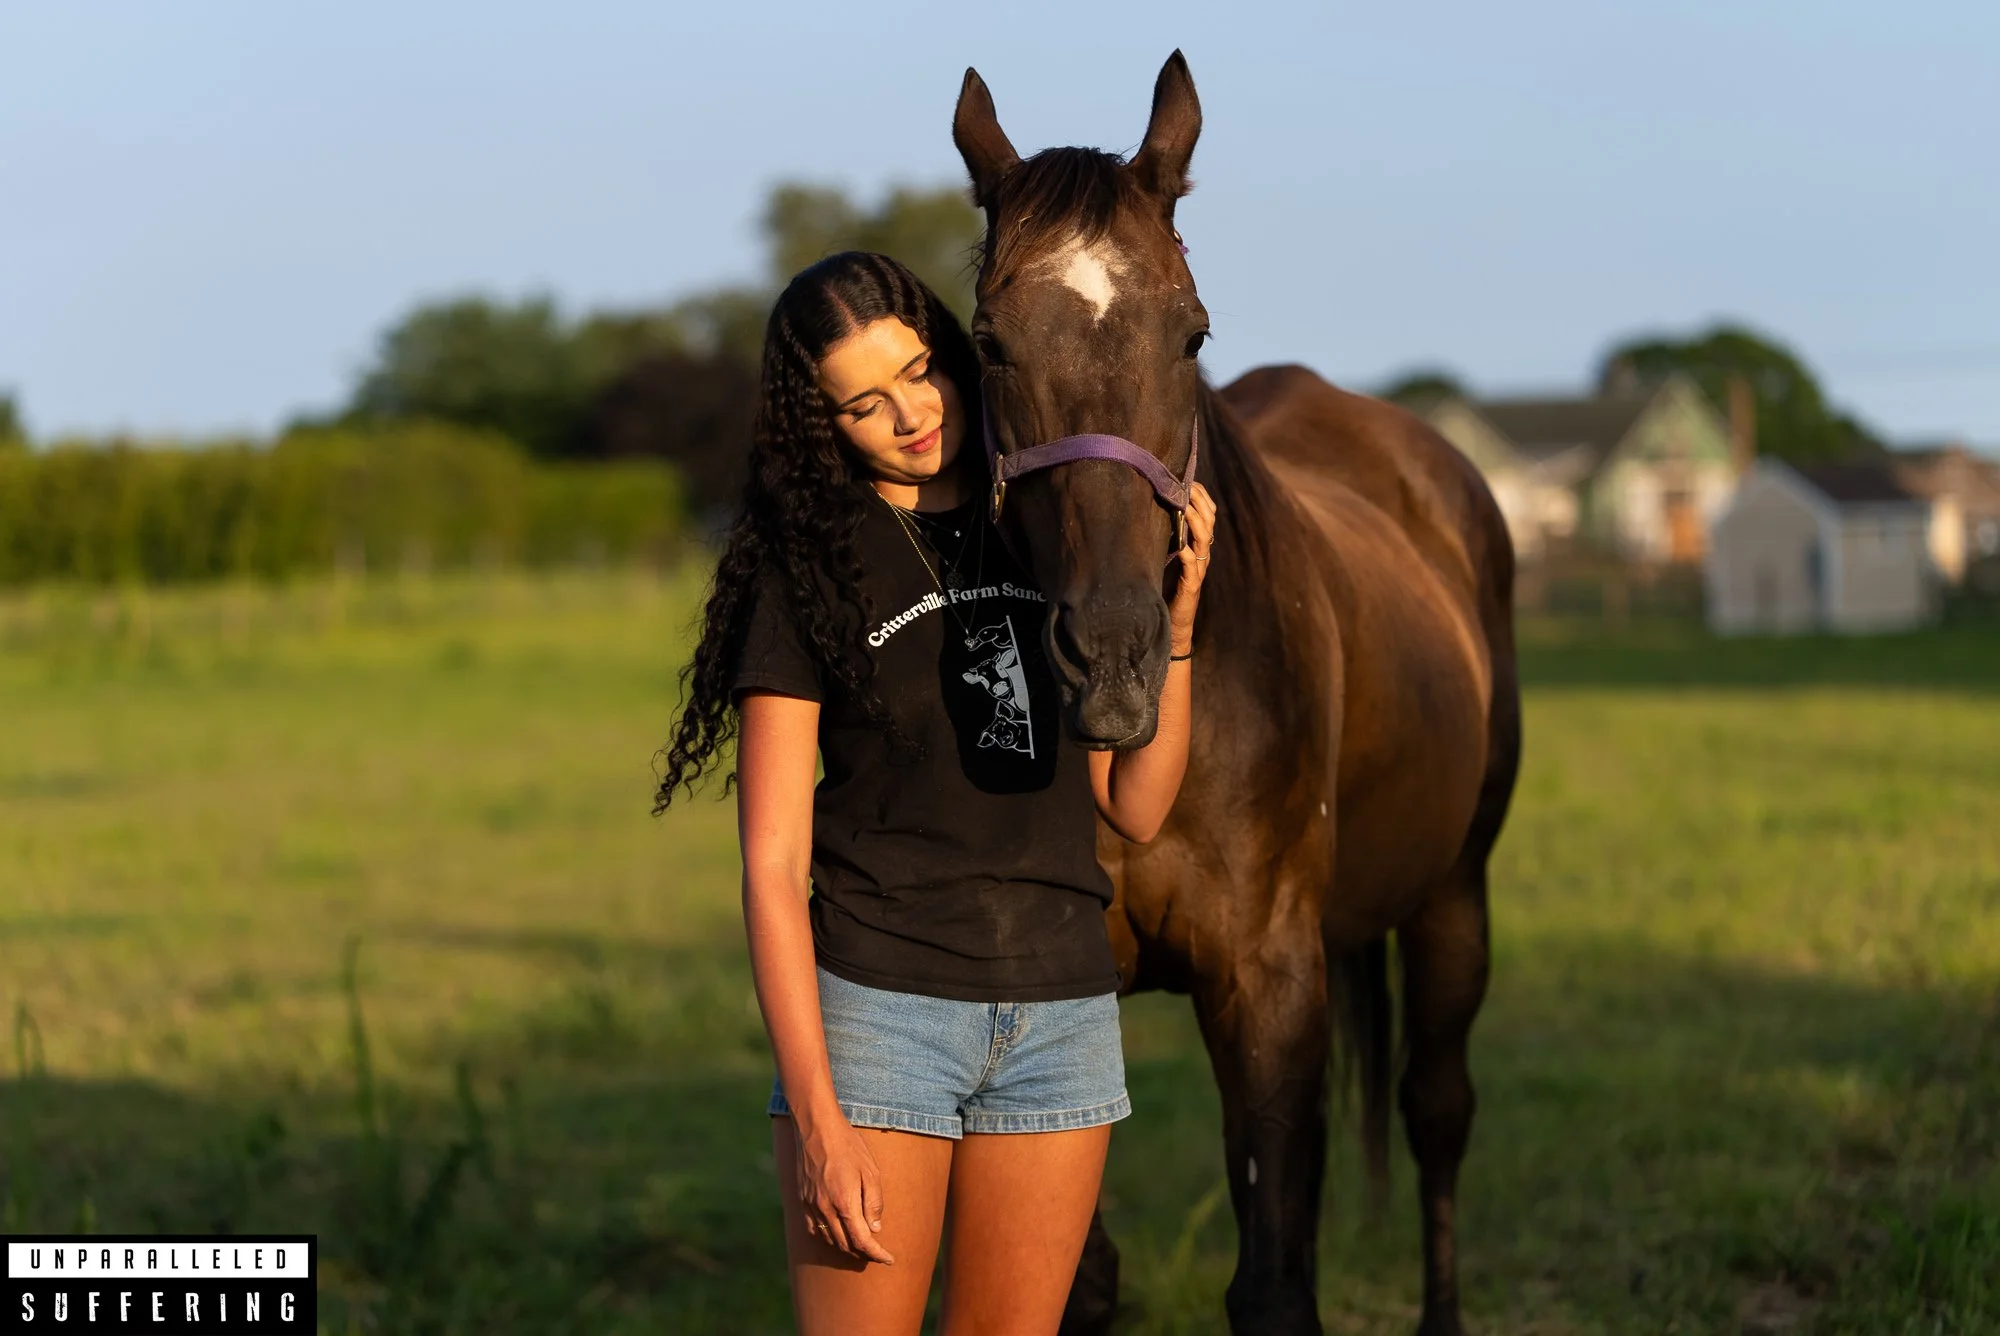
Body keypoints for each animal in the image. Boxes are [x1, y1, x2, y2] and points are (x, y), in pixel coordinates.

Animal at [951, 52, 1522, 1336]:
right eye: (990, 342)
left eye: (1190, 333)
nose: (1111, 656)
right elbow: (1078, 1277)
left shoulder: (1267, 980)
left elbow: (1270, 1282)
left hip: (1451, 894)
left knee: (1438, 1113)